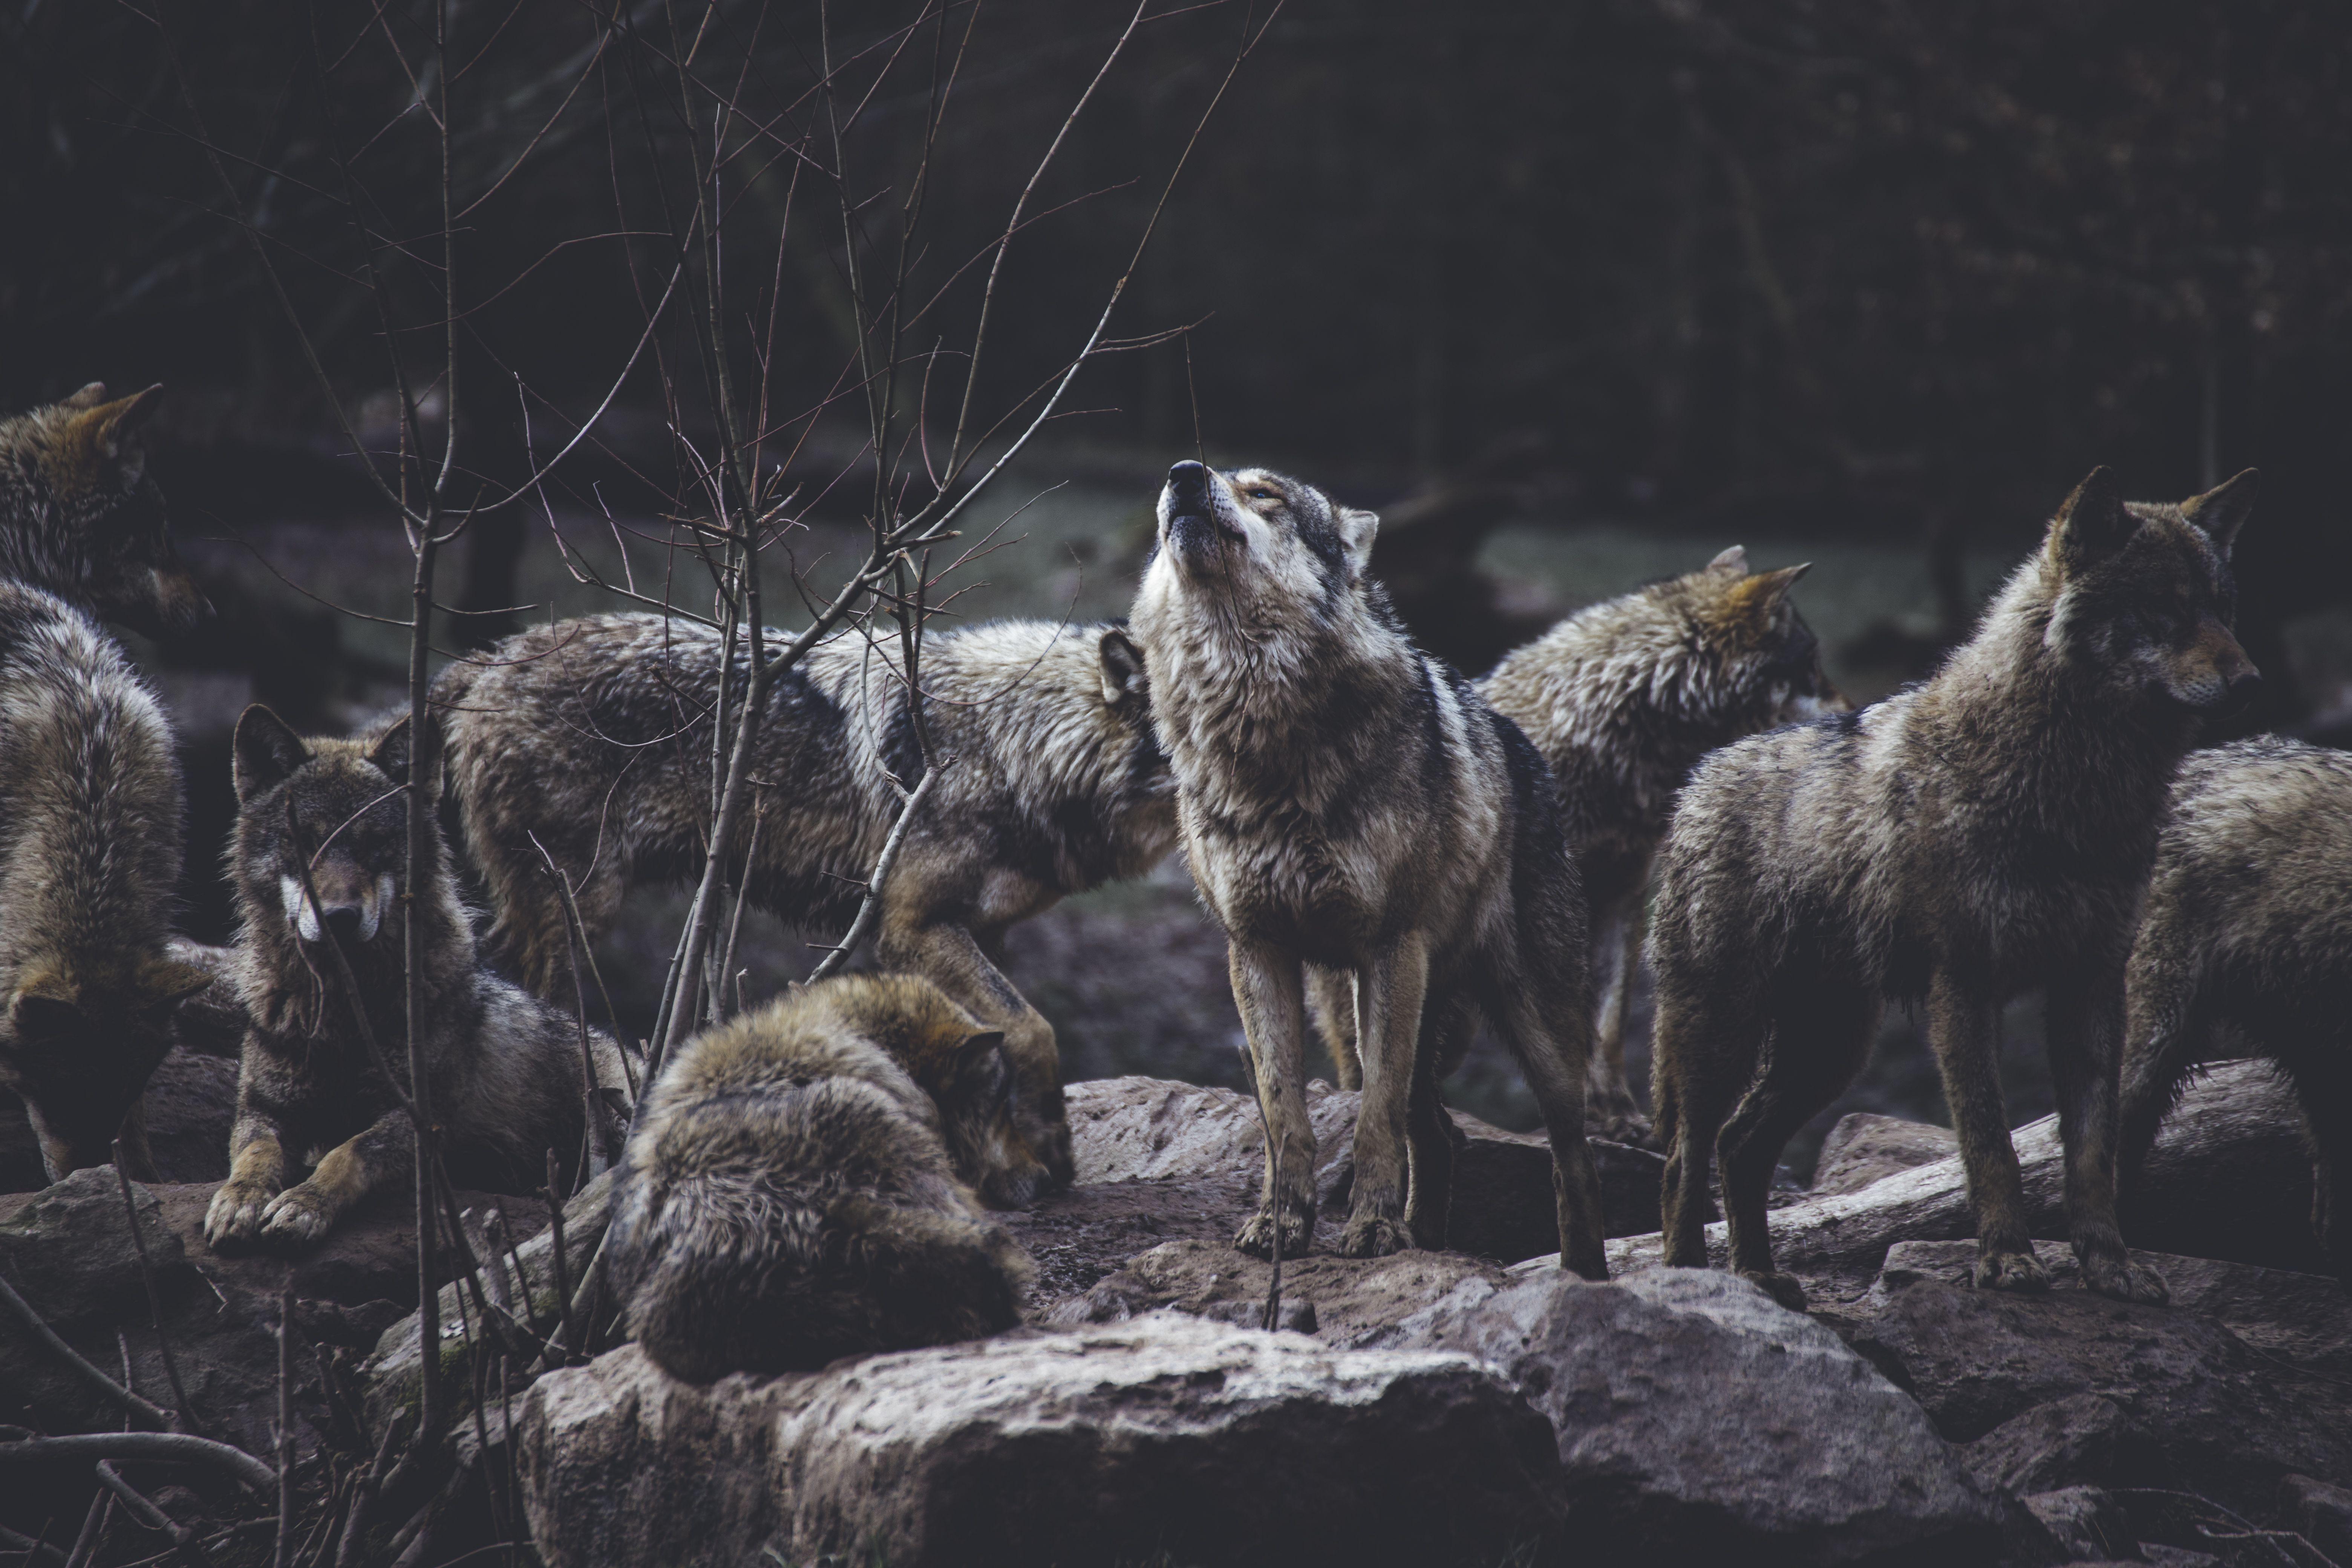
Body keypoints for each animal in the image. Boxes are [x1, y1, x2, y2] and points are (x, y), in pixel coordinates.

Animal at [204, 705, 638, 1250]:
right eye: (304, 841)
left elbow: (347, 1153)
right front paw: (239, 1199)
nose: (339, 917)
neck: (344, 1015)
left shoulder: (421, 1121)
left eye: (375, 843)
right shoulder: (263, 1110)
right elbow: (255, 1155)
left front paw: (304, 1204)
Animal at [435, 613, 1173, 1196]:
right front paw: (1051, 1153)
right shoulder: (912, 927)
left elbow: (998, 1043)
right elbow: (1033, 1029)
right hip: (578, 910)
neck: (1014, 743)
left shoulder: (982, 932)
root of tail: (489, 658)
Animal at [1130, 459, 1607, 1274]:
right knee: (1442, 1135)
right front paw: (1282, 1226)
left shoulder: (1390, 947)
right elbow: (1284, 1114)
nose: (1184, 474)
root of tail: (1524, 745)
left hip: (1530, 1028)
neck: (1259, 726)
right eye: (1200, 475)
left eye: (1266, 494)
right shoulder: (1256, 950)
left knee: (1569, 1158)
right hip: (1362, 1013)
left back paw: (1584, 1274)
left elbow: (1373, 1121)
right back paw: (1431, 1241)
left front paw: (1376, 1232)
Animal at [1319, 547, 1845, 1145]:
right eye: (1813, 666)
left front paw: (1617, 1114)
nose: (1853, 711)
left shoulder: (1623, 896)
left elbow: (1609, 1027)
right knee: (1361, 1069)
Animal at [1649, 467, 2259, 1310]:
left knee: (1740, 1145)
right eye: (2165, 609)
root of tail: (1699, 777)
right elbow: (1990, 1143)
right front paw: (2007, 1260)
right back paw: (1693, 1281)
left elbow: (2093, 1155)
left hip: (1831, 1050)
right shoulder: (1962, 986)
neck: (2073, 790)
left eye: (2223, 609)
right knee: (1687, 1154)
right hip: (1725, 1034)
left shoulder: (2093, 986)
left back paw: (1760, 1278)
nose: (2251, 681)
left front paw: (2110, 1266)